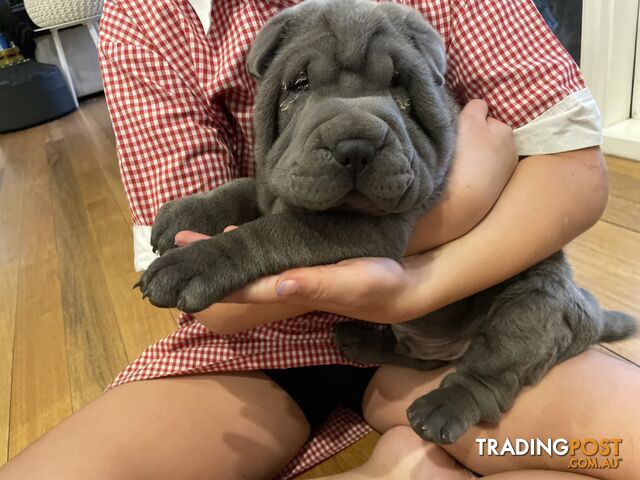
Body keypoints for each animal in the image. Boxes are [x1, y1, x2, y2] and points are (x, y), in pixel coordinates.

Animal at [136, 0, 636, 442]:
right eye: (299, 84)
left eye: (399, 85)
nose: (355, 144)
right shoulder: (277, 177)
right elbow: (241, 190)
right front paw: (187, 211)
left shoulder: (366, 228)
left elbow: (269, 233)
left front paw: (194, 262)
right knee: (415, 358)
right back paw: (361, 340)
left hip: (531, 306)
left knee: (491, 371)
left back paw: (441, 408)